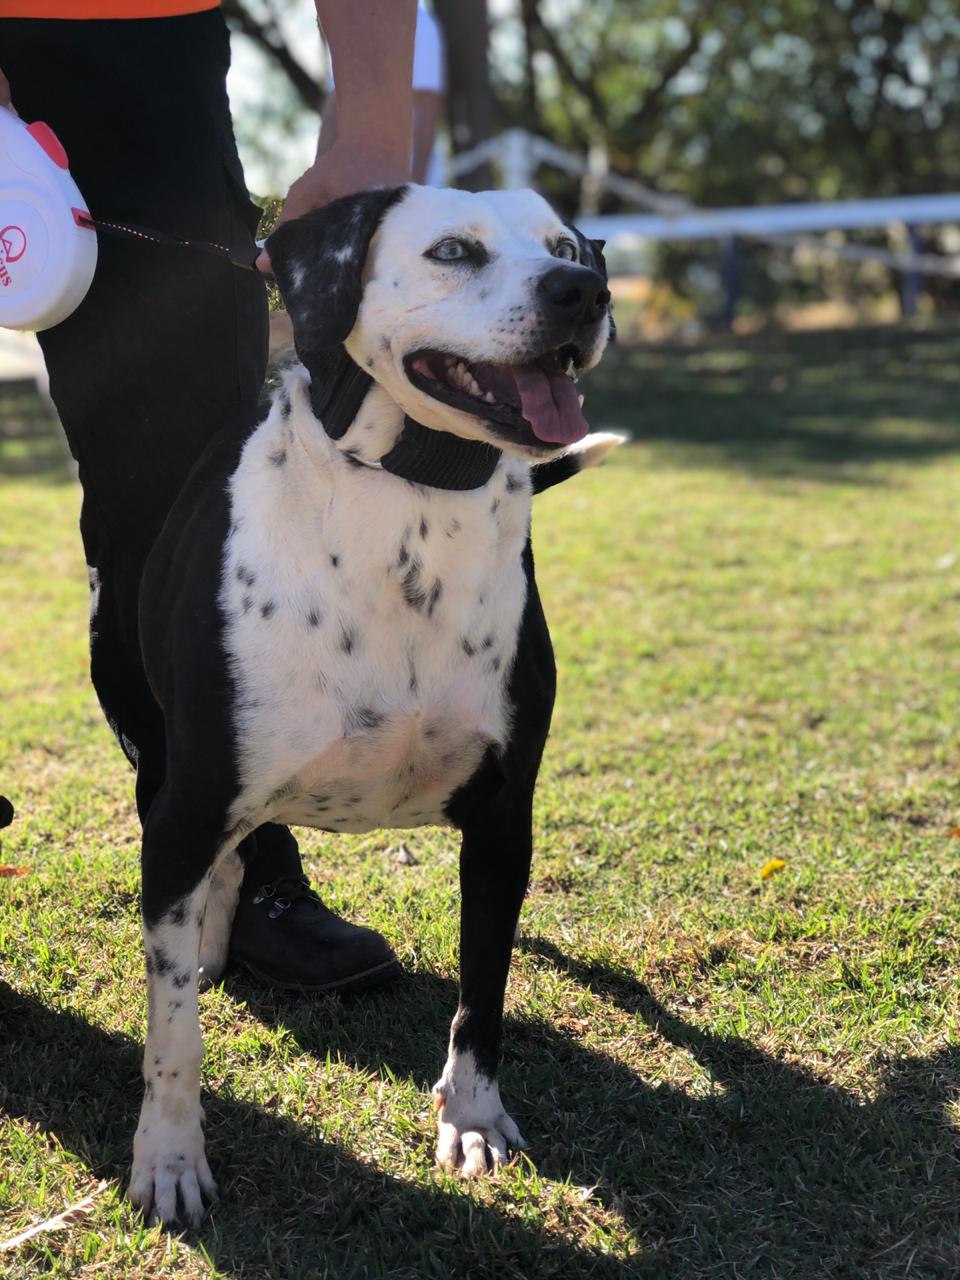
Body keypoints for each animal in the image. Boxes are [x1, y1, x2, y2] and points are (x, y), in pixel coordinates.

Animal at [126, 185, 616, 1223]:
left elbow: (484, 991)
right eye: (453, 252)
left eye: (565, 247)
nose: (583, 292)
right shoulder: (186, 810)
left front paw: (471, 1117)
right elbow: (174, 1030)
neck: (415, 492)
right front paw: (171, 1155)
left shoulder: (503, 821)